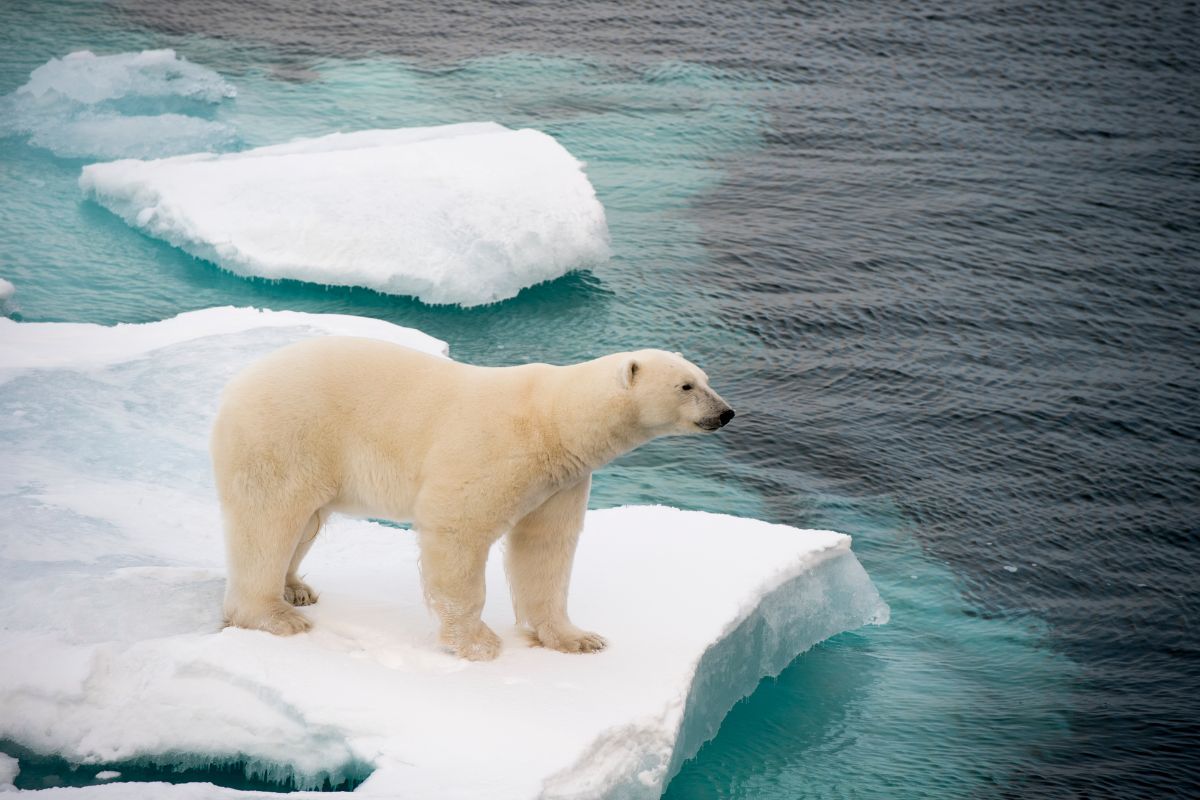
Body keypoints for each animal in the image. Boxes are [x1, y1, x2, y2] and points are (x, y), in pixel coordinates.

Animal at [212, 338, 734, 657]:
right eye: (686, 385)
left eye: (706, 377)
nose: (726, 412)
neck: (553, 420)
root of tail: (237, 383)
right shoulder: (495, 450)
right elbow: (458, 528)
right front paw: (477, 643)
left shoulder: (561, 480)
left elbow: (546, 549)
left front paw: (576, 638)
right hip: (285, 436)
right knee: (269, 519)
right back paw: (273, 615)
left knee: (304, 524)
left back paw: (295, 587)